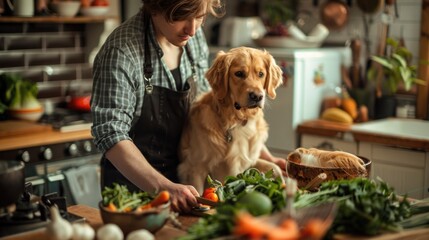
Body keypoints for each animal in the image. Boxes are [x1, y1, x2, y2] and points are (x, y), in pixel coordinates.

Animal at [177, 46, 284, 193]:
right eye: (239, 73)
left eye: (261, 74)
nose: (257, 96)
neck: (238, 120)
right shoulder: (195, 167)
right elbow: (197, 191)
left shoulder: (248, 160)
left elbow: (276, 168)